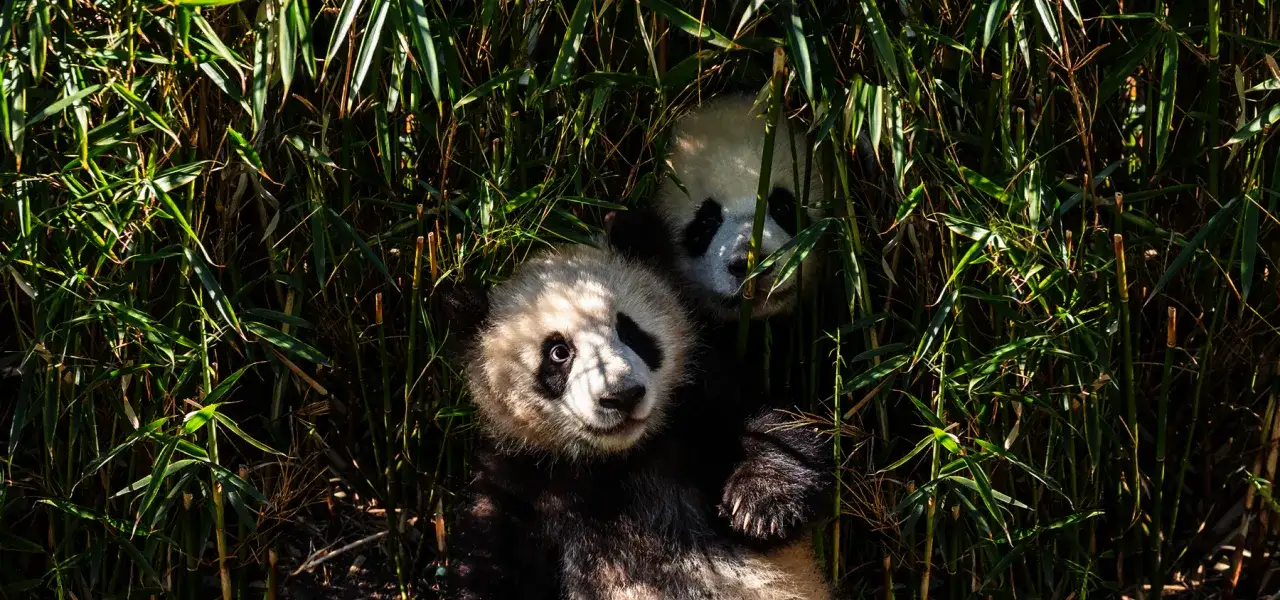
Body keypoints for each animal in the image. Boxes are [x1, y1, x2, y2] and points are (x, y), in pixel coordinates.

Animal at [444, 242, 834, 600]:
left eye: (630, 331)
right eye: (558, 352)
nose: (622, 396)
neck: (615, 461)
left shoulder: (695, 407)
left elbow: (775, 431)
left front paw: (760, 506)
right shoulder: (521, 480)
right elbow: (487, 564)